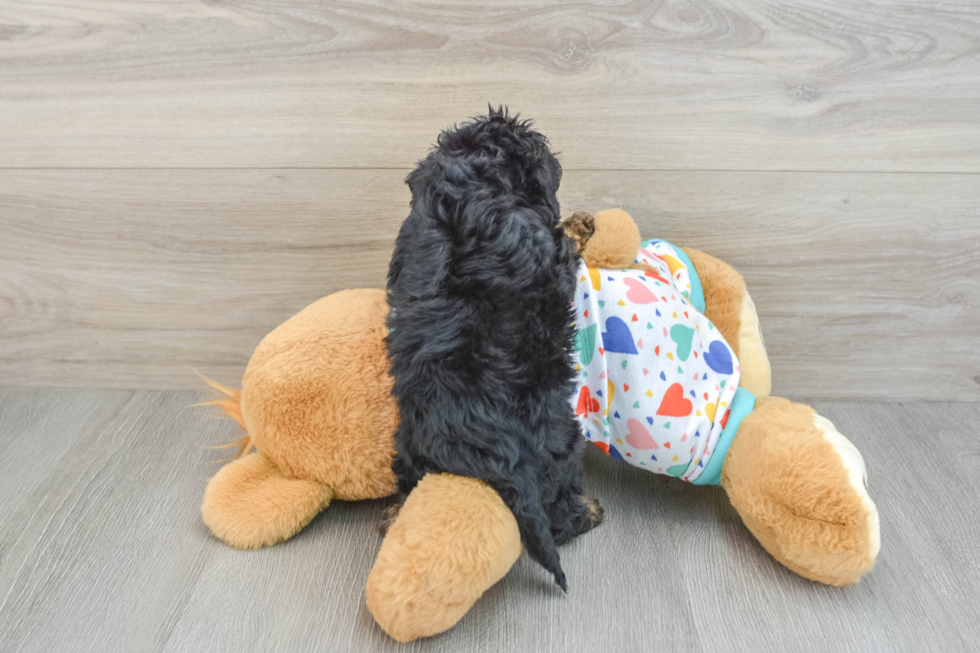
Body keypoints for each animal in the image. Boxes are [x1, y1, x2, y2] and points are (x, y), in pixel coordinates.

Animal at [386, 104, 600, 588]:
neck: (467, 181)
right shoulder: (547, 256)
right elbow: (564, 243)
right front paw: (580, 223)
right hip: (562, 440)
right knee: (559, 514)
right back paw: (590, 511)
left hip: (408, 448)